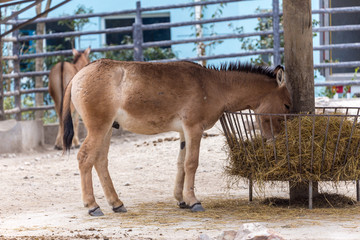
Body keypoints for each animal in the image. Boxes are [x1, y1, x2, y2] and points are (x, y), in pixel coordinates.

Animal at [62, 59, 292, 217]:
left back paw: (116, 204)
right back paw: (93, 206)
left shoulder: (183, 132)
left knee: (100, 161)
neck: (214, 86)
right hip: (98, 127)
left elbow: (181, 163)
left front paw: (181, 200)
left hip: (108, 128)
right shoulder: (194, 128)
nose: (278, 139)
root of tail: (79, 74)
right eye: (287, 105)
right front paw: (194, 201)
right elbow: (192, 163)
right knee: (85, 158)